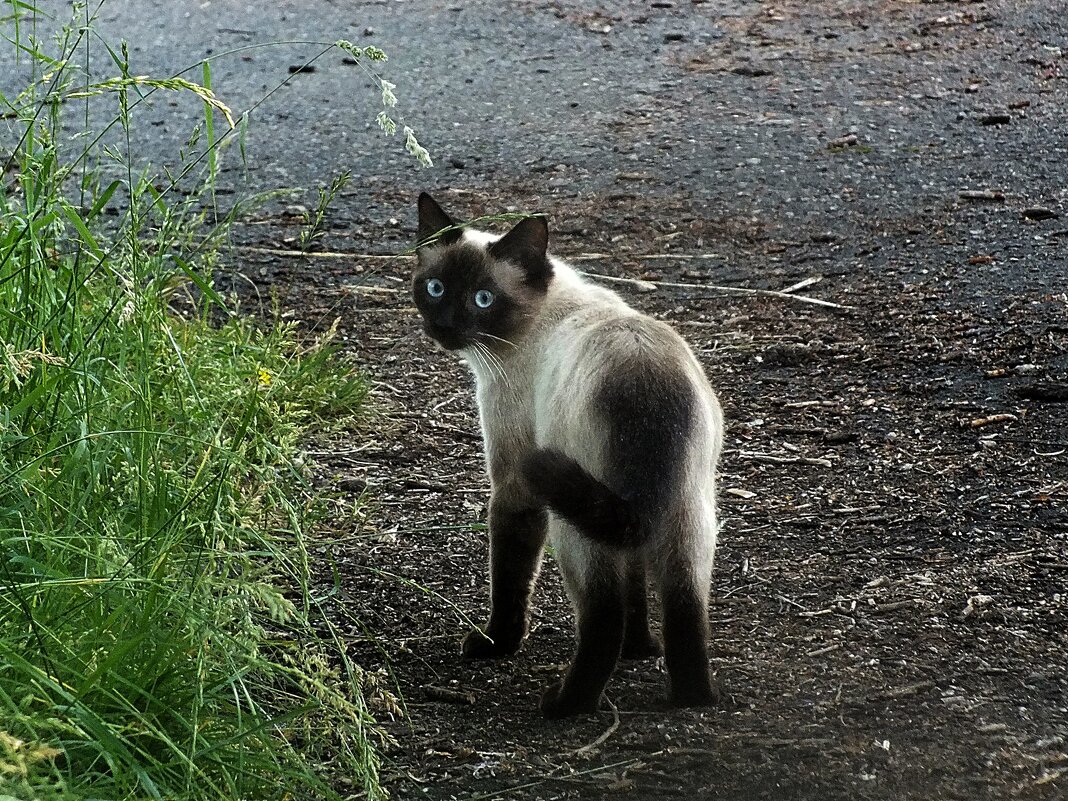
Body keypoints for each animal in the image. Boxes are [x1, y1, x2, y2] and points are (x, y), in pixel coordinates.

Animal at [412, 194, 721, 721]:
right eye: (435, 288)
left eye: (483, 299)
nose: (445, 327)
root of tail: (647, 383)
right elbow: (637, 588)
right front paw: (643, 650)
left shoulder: (514, 482)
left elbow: (510, 576)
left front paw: (495, 645)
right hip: (686, 515)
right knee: (685, 609)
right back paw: (692, 699)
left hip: (571, 524)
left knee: (603, 618)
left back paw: (564, 705)